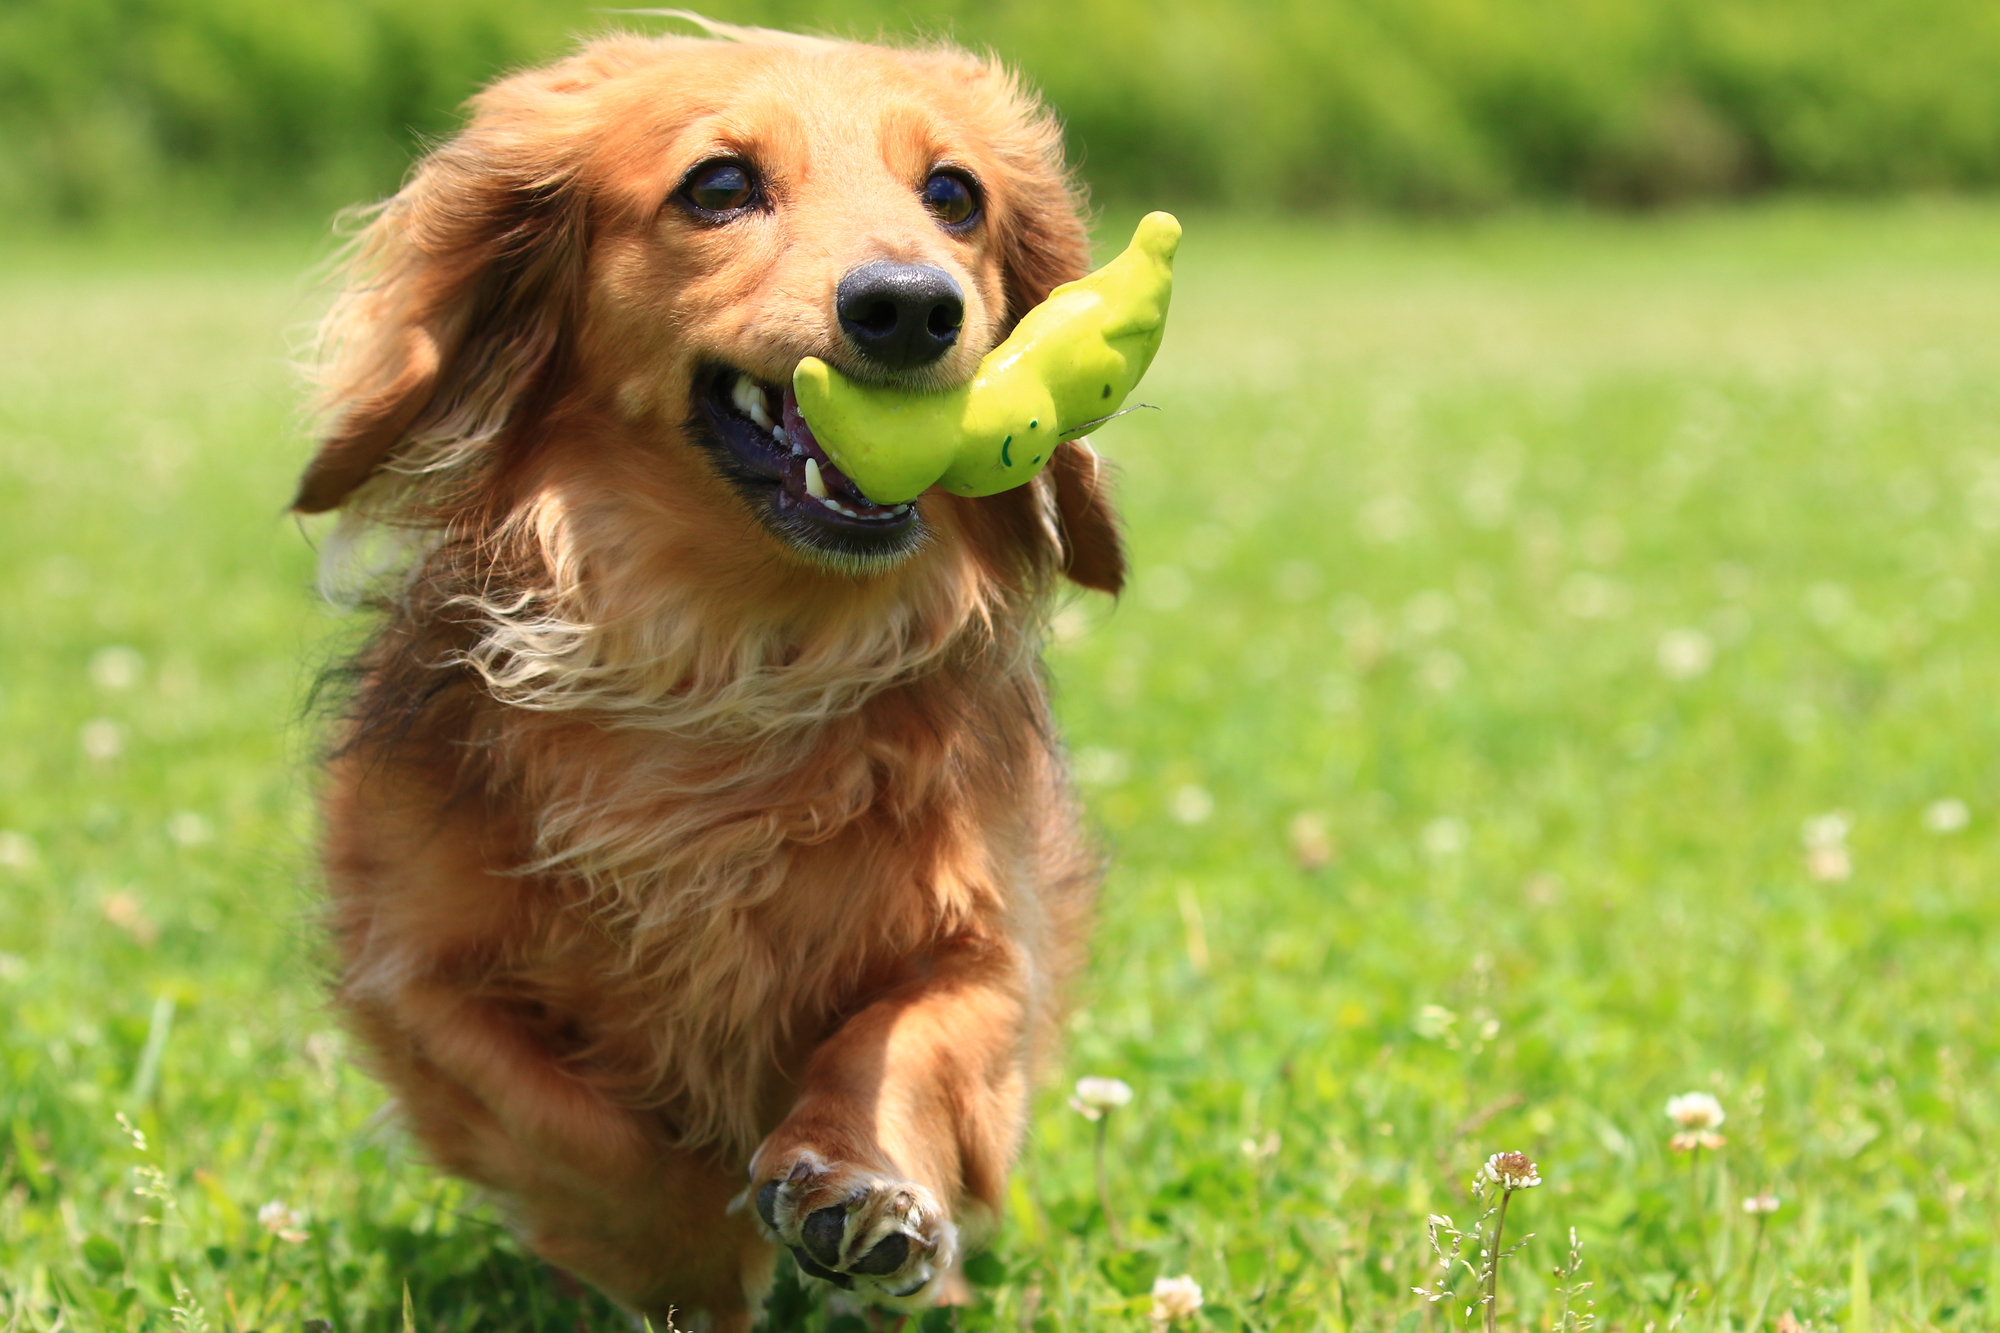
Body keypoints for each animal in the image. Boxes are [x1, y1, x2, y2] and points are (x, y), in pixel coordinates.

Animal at [300, 20, 1128, 1328]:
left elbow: (905, 1035)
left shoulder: (989, 942)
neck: (732, 659)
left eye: (953, 195)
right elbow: (580, 1133)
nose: (910, 307)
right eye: (720, 185)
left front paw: (864, 1189)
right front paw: (695, 1246)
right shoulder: (422, 981)